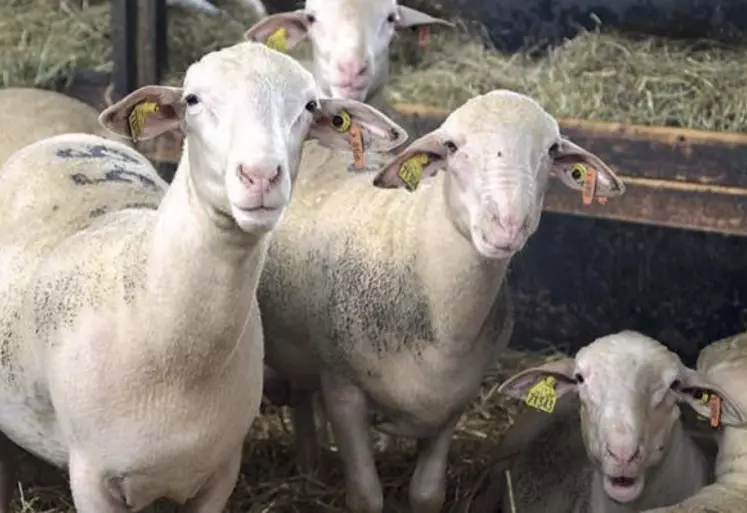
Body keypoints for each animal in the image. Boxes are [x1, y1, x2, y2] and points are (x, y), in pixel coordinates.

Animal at [0, 41, 410, 512]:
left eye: (309, 107)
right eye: (193, 100)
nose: (260, 176)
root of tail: (67, 140)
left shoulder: (221, 471)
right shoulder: (90, 478)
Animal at [260, 89, 628, 512]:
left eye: (552, 150)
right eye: (451, 147)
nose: (507, 226)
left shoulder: (453, 403)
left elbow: (427, 494)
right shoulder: (342, 390)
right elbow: (367, 497)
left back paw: (310, 469)